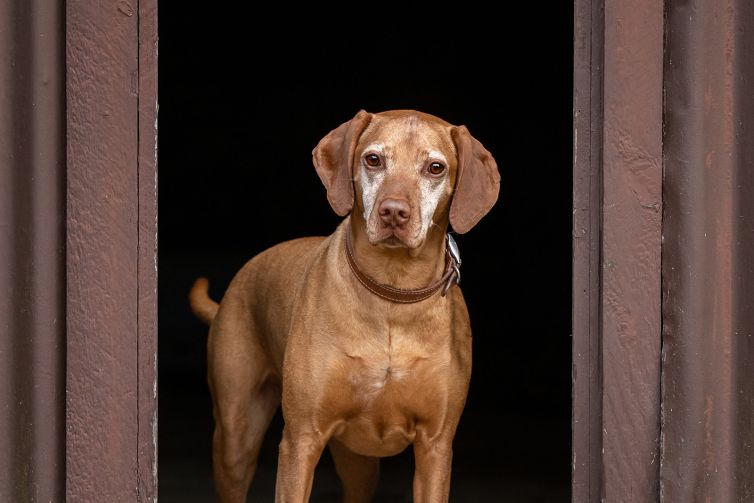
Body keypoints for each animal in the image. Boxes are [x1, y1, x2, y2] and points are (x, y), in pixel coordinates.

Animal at [188, 108, 496, 502]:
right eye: (373, 159)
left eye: (435, 168)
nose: (393, 211)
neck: (392, 293)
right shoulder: (301, 440)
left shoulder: (436, 446)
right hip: (235, 439)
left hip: (359, 462)